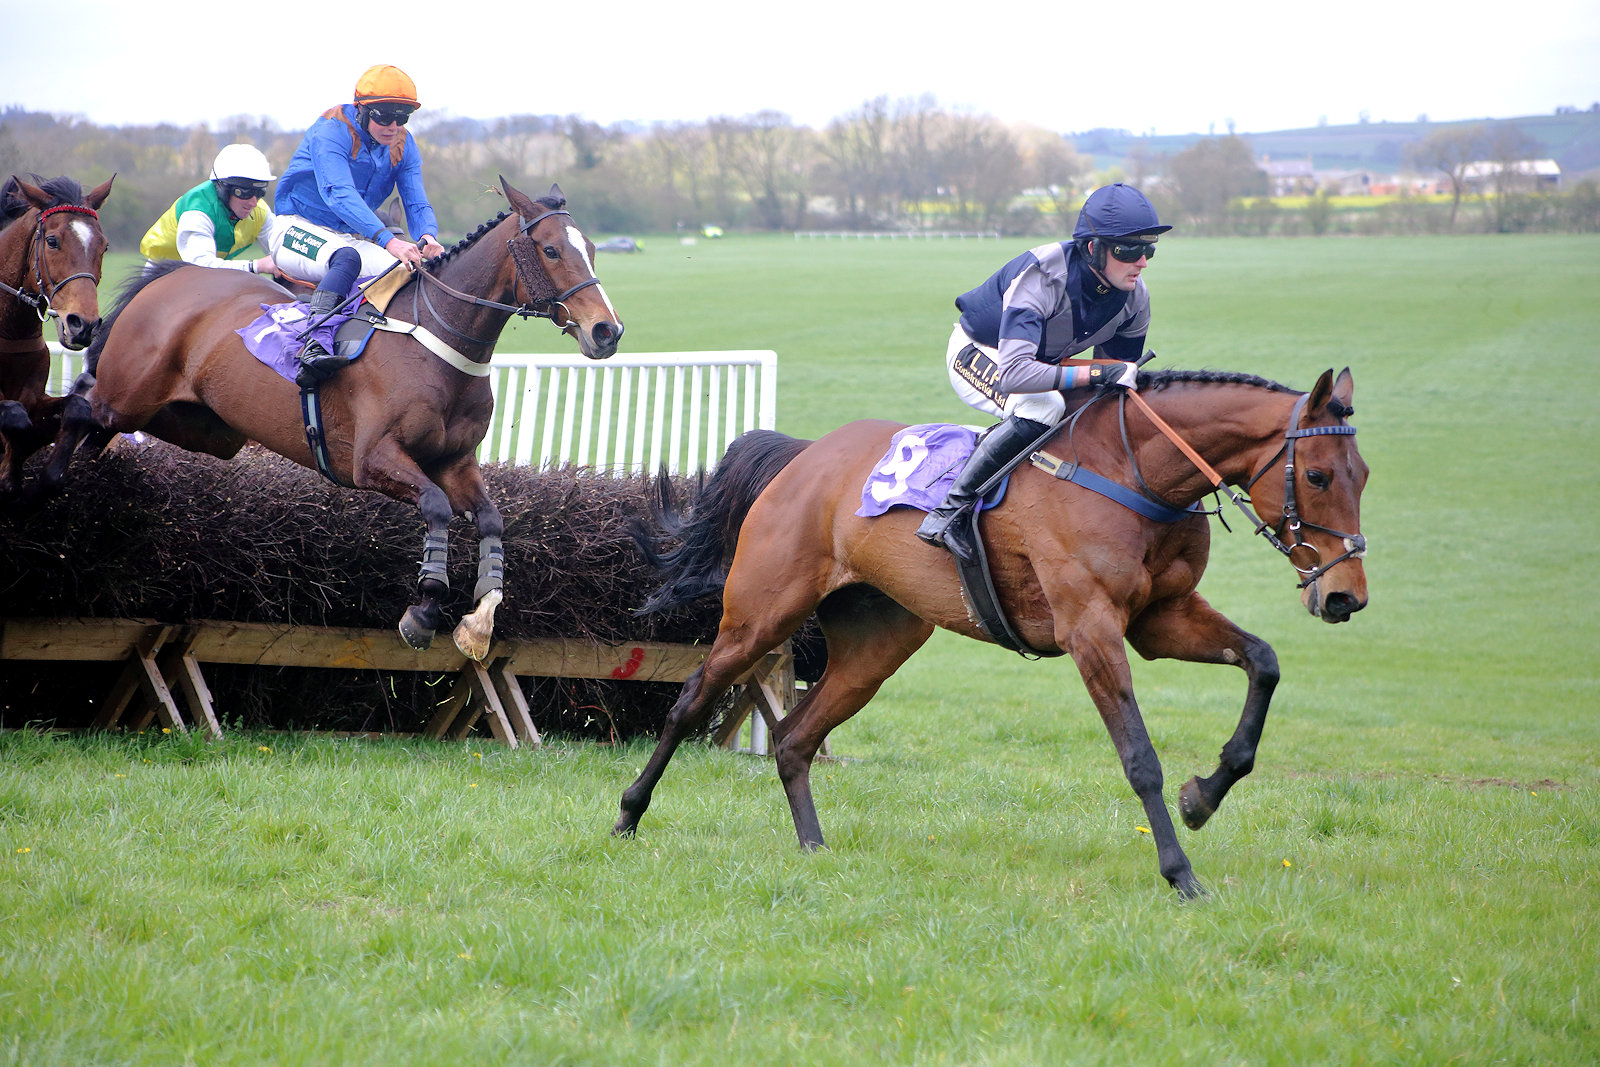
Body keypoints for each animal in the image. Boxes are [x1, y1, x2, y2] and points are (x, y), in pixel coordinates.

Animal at [0, 173, 113, 495]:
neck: (11, 332)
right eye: (52, 241)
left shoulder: (35, 397)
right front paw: (9, 474)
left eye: (104, 247)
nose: (83, 324)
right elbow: (13, 415)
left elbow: (78, 407)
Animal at [42, 178, 622, 659]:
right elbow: (436, 508)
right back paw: (47, 483)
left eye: (592, 250)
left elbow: (492, 520)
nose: (606, 331)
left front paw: (478, 622)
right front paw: (424, 609)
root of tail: (172, 276)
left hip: (197, 426)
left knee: (99, 431)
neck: (438, 344)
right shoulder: (372, 459)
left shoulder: (456, 461)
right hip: (131, 393)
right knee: (81, 405)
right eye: (551, 249)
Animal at [616, 368, 1368, 898]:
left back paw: (813, 847)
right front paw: (1180, 873)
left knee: (796, 736)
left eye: (1363, 476)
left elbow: (1263, 662)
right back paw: (627, 814)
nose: (1345, 596)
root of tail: (804, 455)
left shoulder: (1163, 617)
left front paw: (1204, 795)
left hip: (876, 645)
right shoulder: (1090, 627)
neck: (1134, 473)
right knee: (691, 698)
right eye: (1318, 475)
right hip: (760, 612)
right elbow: (1139, 756)